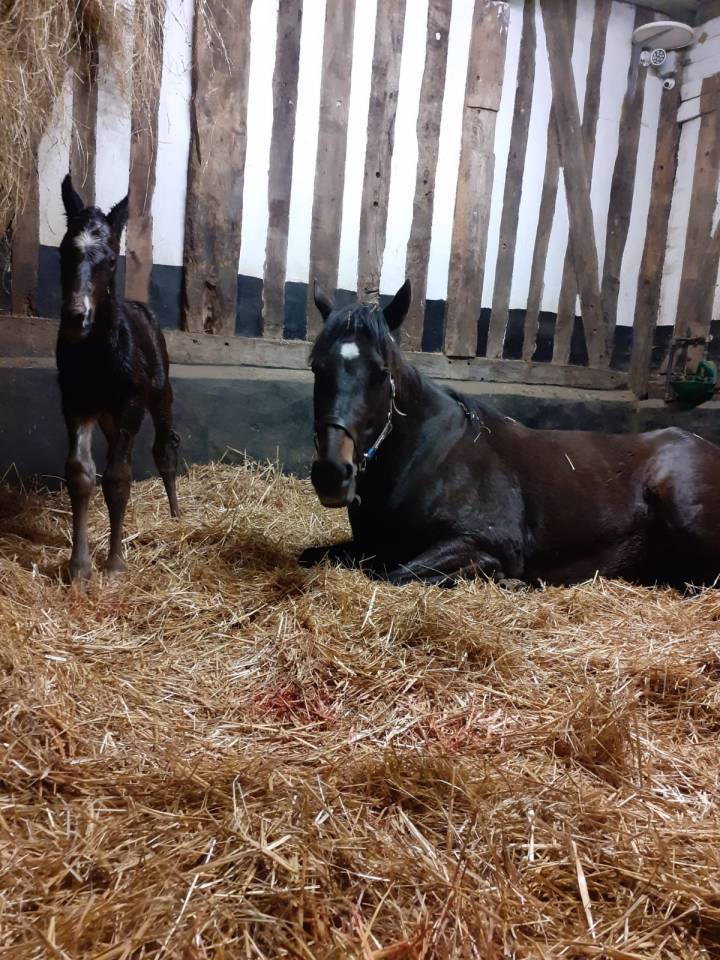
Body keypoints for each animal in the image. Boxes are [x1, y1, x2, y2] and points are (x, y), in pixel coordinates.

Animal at [57, 174, 179, 582]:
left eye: (111, 259)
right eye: (63, 252)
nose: (76, 317)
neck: (96, 356)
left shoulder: (131, 404)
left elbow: (117, 478)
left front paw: (114, 564)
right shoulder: (75, 404)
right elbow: (82, 473)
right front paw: (79, 568)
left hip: (159, 397)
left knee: (164, 450)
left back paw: (176, 514)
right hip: (109, 416)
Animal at [300, 280, 720, 589]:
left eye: (381, 371)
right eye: (317, 367)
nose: (332, 473)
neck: (428, 461)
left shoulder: (481, 540)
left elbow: (395, 576)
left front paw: (501, 579)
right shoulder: (368, 545)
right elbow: (314, 556)